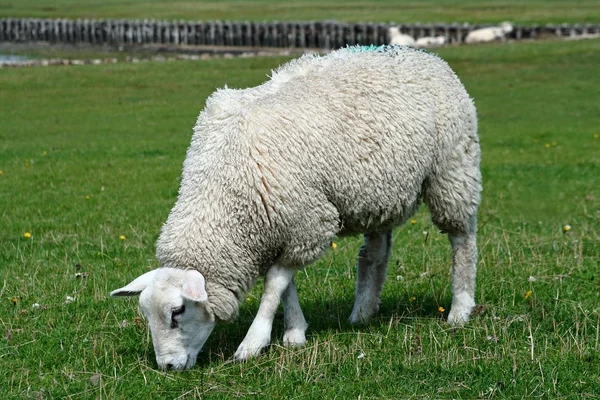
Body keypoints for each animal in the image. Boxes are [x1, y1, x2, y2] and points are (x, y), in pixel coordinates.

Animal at [109, 45, 482, 370]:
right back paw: (363, 312)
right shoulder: (279, 223)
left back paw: (460, 309)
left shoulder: (307, 221)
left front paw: (254, 342)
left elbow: (275, 284)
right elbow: (285, 286)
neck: (222, 189)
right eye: (146, 315)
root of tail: (423, 54)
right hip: (377, 194)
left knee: (462, 240)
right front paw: (294, 332)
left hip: (452, 169)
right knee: (375, 253)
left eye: (177, 313)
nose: (167, 366)